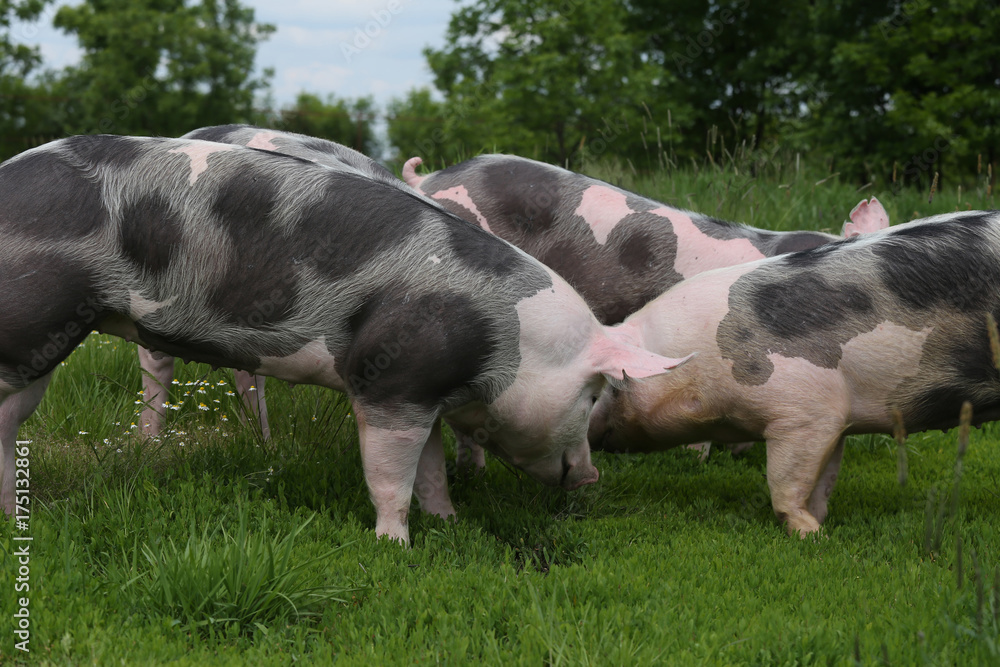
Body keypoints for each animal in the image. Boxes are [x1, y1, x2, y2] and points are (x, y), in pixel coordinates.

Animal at [0, 134, 689, 544]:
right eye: (592, 393)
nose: (593, 478)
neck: (506, 342)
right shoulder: (388, 382)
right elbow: (388, 475)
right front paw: (395, 545)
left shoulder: (423, 394)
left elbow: (430, 469)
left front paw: (448, 525)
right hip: (31, 324)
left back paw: (18, 516)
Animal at [589, 207, 1000, 535]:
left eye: (614, 383)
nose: (590, 430)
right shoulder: (835, 413)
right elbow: (824, 475)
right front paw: (820, 522)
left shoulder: (805, 412)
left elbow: (785, 479)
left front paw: (809, 534)